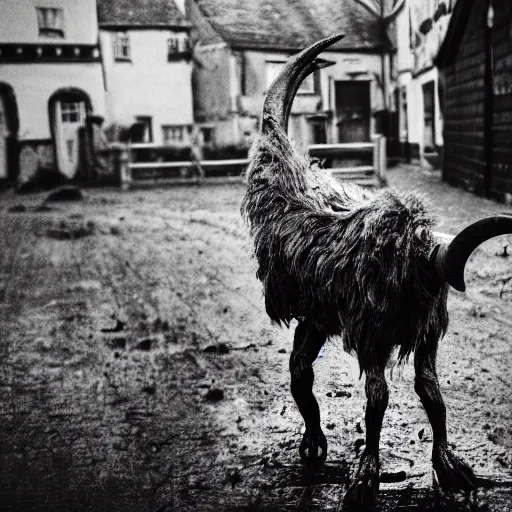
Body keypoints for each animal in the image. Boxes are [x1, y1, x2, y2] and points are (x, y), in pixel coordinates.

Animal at [241, 34, 512, 510]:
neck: (410, 264)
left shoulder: (424, 329)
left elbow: (430, 391)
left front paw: (449, 466)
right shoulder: (371, 333)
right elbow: (377, 399)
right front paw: (366, 476)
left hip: (318, 317)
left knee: (300, 368)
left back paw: (314, 442)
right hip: (322, 316)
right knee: (302, 370)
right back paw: (315, 443)